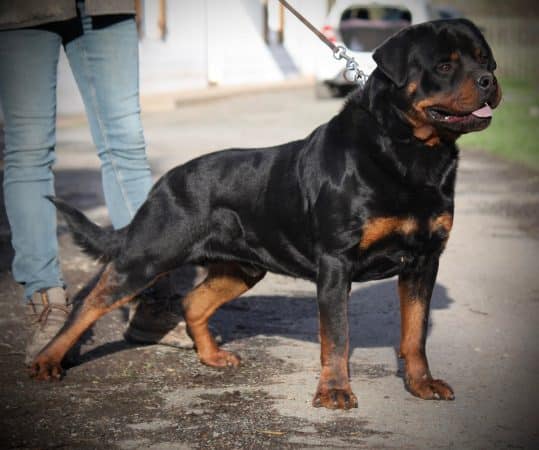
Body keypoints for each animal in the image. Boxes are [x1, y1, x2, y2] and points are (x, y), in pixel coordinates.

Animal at [29, 19, 502, 410]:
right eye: (444, 65)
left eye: (485, 59)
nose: (489, 81)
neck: (412, 153)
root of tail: (164, 183)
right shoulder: (337, 262)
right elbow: (337, 337)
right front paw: (334, 392)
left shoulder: (424, 260)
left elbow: (414, 333)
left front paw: (421, 385)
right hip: (148, 255)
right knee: (91, 302)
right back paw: (47, 360)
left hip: (241, 267)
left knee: (193, 301)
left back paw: (212, 356)